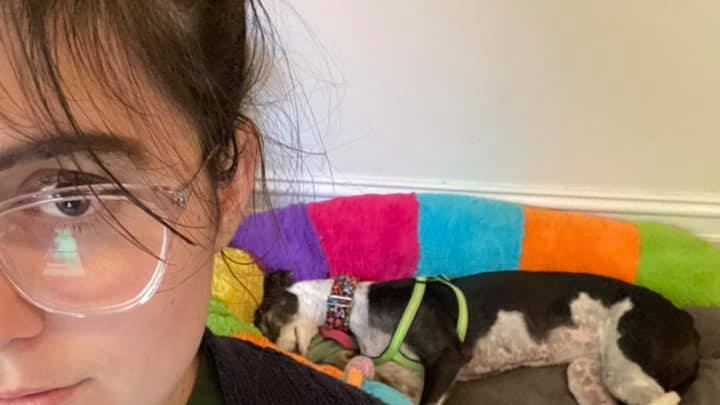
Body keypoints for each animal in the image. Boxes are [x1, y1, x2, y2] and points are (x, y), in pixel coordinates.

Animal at [253, 270, 696, 404]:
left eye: (262, 322)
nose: (270, 346)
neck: (357, 306)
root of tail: (685, 318)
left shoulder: (448, 357)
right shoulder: (415, 382)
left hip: (628, 358)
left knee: (667, 400)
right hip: (587, 376)